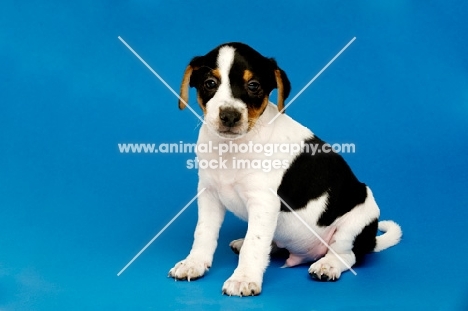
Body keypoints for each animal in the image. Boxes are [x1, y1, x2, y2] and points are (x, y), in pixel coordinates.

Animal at [168, 42, 402, 298]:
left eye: (254, 85)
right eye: (210, 83)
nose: (229, 116)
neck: (232, 148)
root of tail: (369, 241)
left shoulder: (264, 202)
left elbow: (255, 243)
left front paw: (243, 278)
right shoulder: (209, 194)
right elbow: (204, 233)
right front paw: (194, 263)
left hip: (354, 222)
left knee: (347, 256)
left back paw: (327, 265)